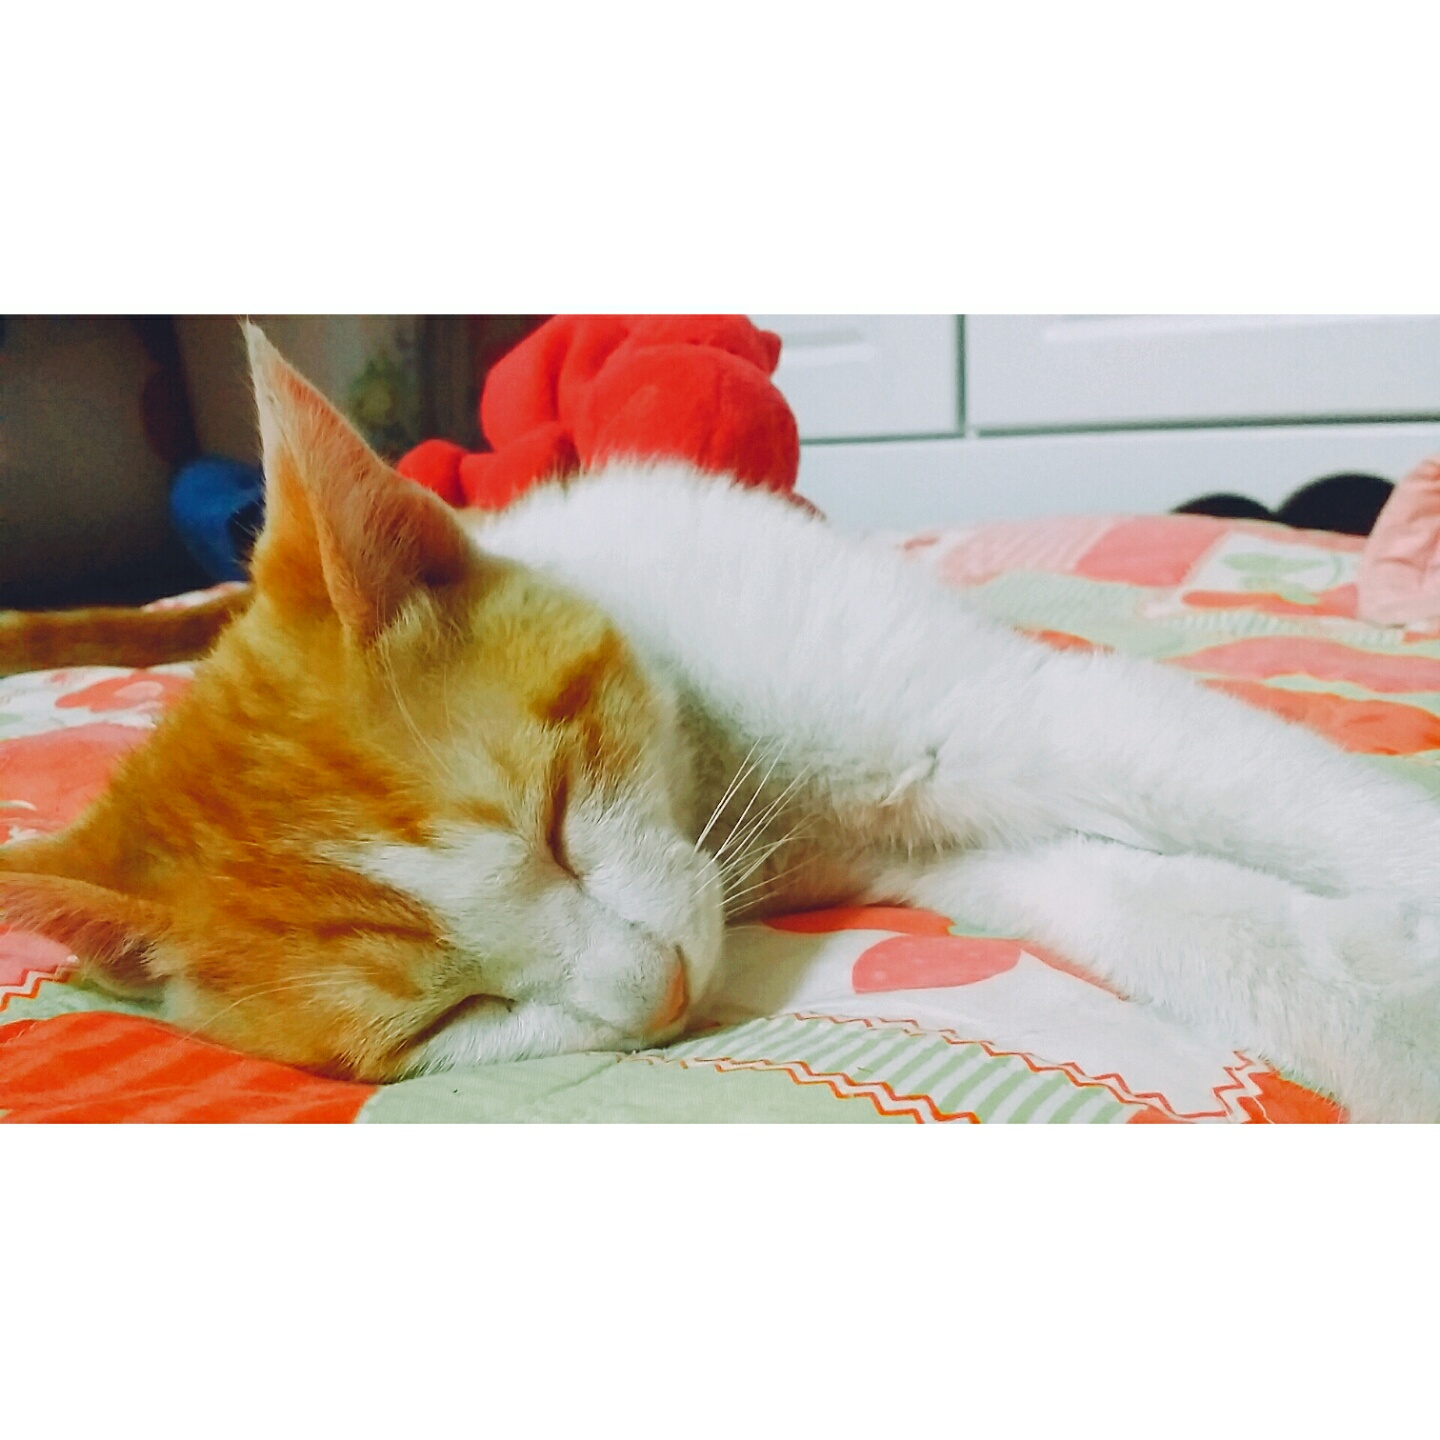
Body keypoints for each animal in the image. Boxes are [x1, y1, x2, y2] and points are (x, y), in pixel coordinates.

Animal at [2, 323, 1438, 1118]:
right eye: (445, 1023)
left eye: (558, 818)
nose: (665, 996)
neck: (716, 770)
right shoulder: (935, 853)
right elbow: (1167, 914)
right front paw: (1392, 1015)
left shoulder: (992, 711)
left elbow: (1291, 805)